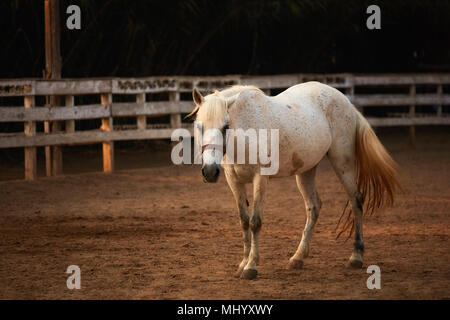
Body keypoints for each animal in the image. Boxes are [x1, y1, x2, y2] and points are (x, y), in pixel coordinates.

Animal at [187, 82, 400, 280]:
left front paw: (251, 267)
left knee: (356, 201)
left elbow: (255, 222)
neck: (246, 132)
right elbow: (244, 221)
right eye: (199, 126)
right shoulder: (234, 180)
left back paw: (356, 256)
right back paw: (298, 258)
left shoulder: (260, 179)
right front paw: (242, 264)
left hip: (342, 163)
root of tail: (345, 101)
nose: (210, 172)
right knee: (314, 207)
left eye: (225, 126)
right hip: (306, 171)